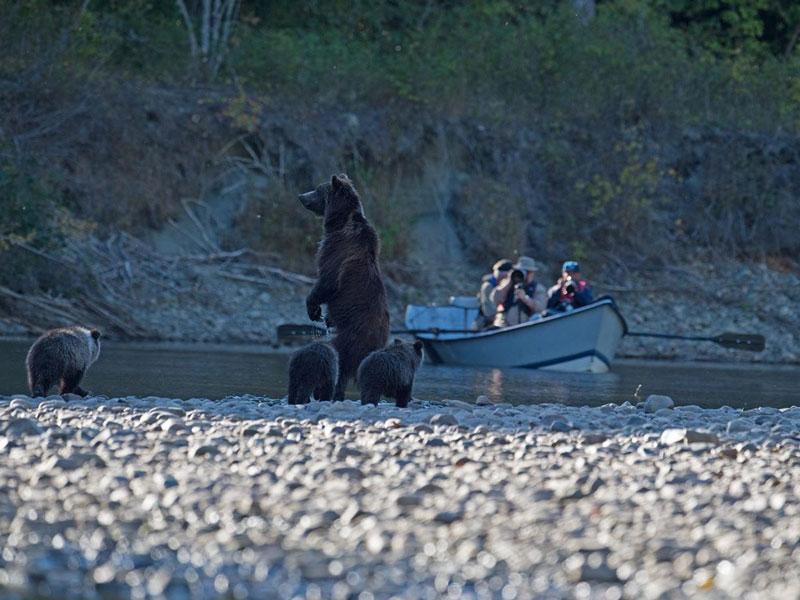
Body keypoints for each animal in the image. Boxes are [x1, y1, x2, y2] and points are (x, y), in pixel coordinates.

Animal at [298, 173, 390, 398]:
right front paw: (325, 317)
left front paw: (313, 308)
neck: (340, 223)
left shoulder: (337, 249)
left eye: (317, 189)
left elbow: (327, 280)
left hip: (352, 334)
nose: (300, 196)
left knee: (339, 357)